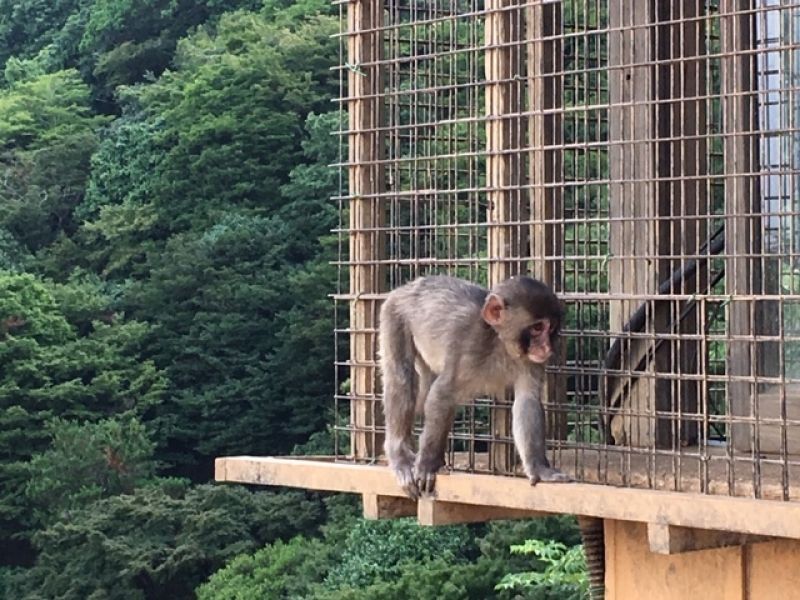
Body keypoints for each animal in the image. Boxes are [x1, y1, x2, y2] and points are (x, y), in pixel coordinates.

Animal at [380, 274, 572, 500]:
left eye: (550, 328)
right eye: (537, 328)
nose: (547, 347)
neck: (500, 343)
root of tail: (405, 288)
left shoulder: (530, 361)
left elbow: (528, 400)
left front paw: (539, 468)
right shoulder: (469, 346)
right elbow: (442, 394)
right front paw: (427, 464)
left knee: (421, 394)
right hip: (394, 315)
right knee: (401, 378)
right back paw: (400, 456)